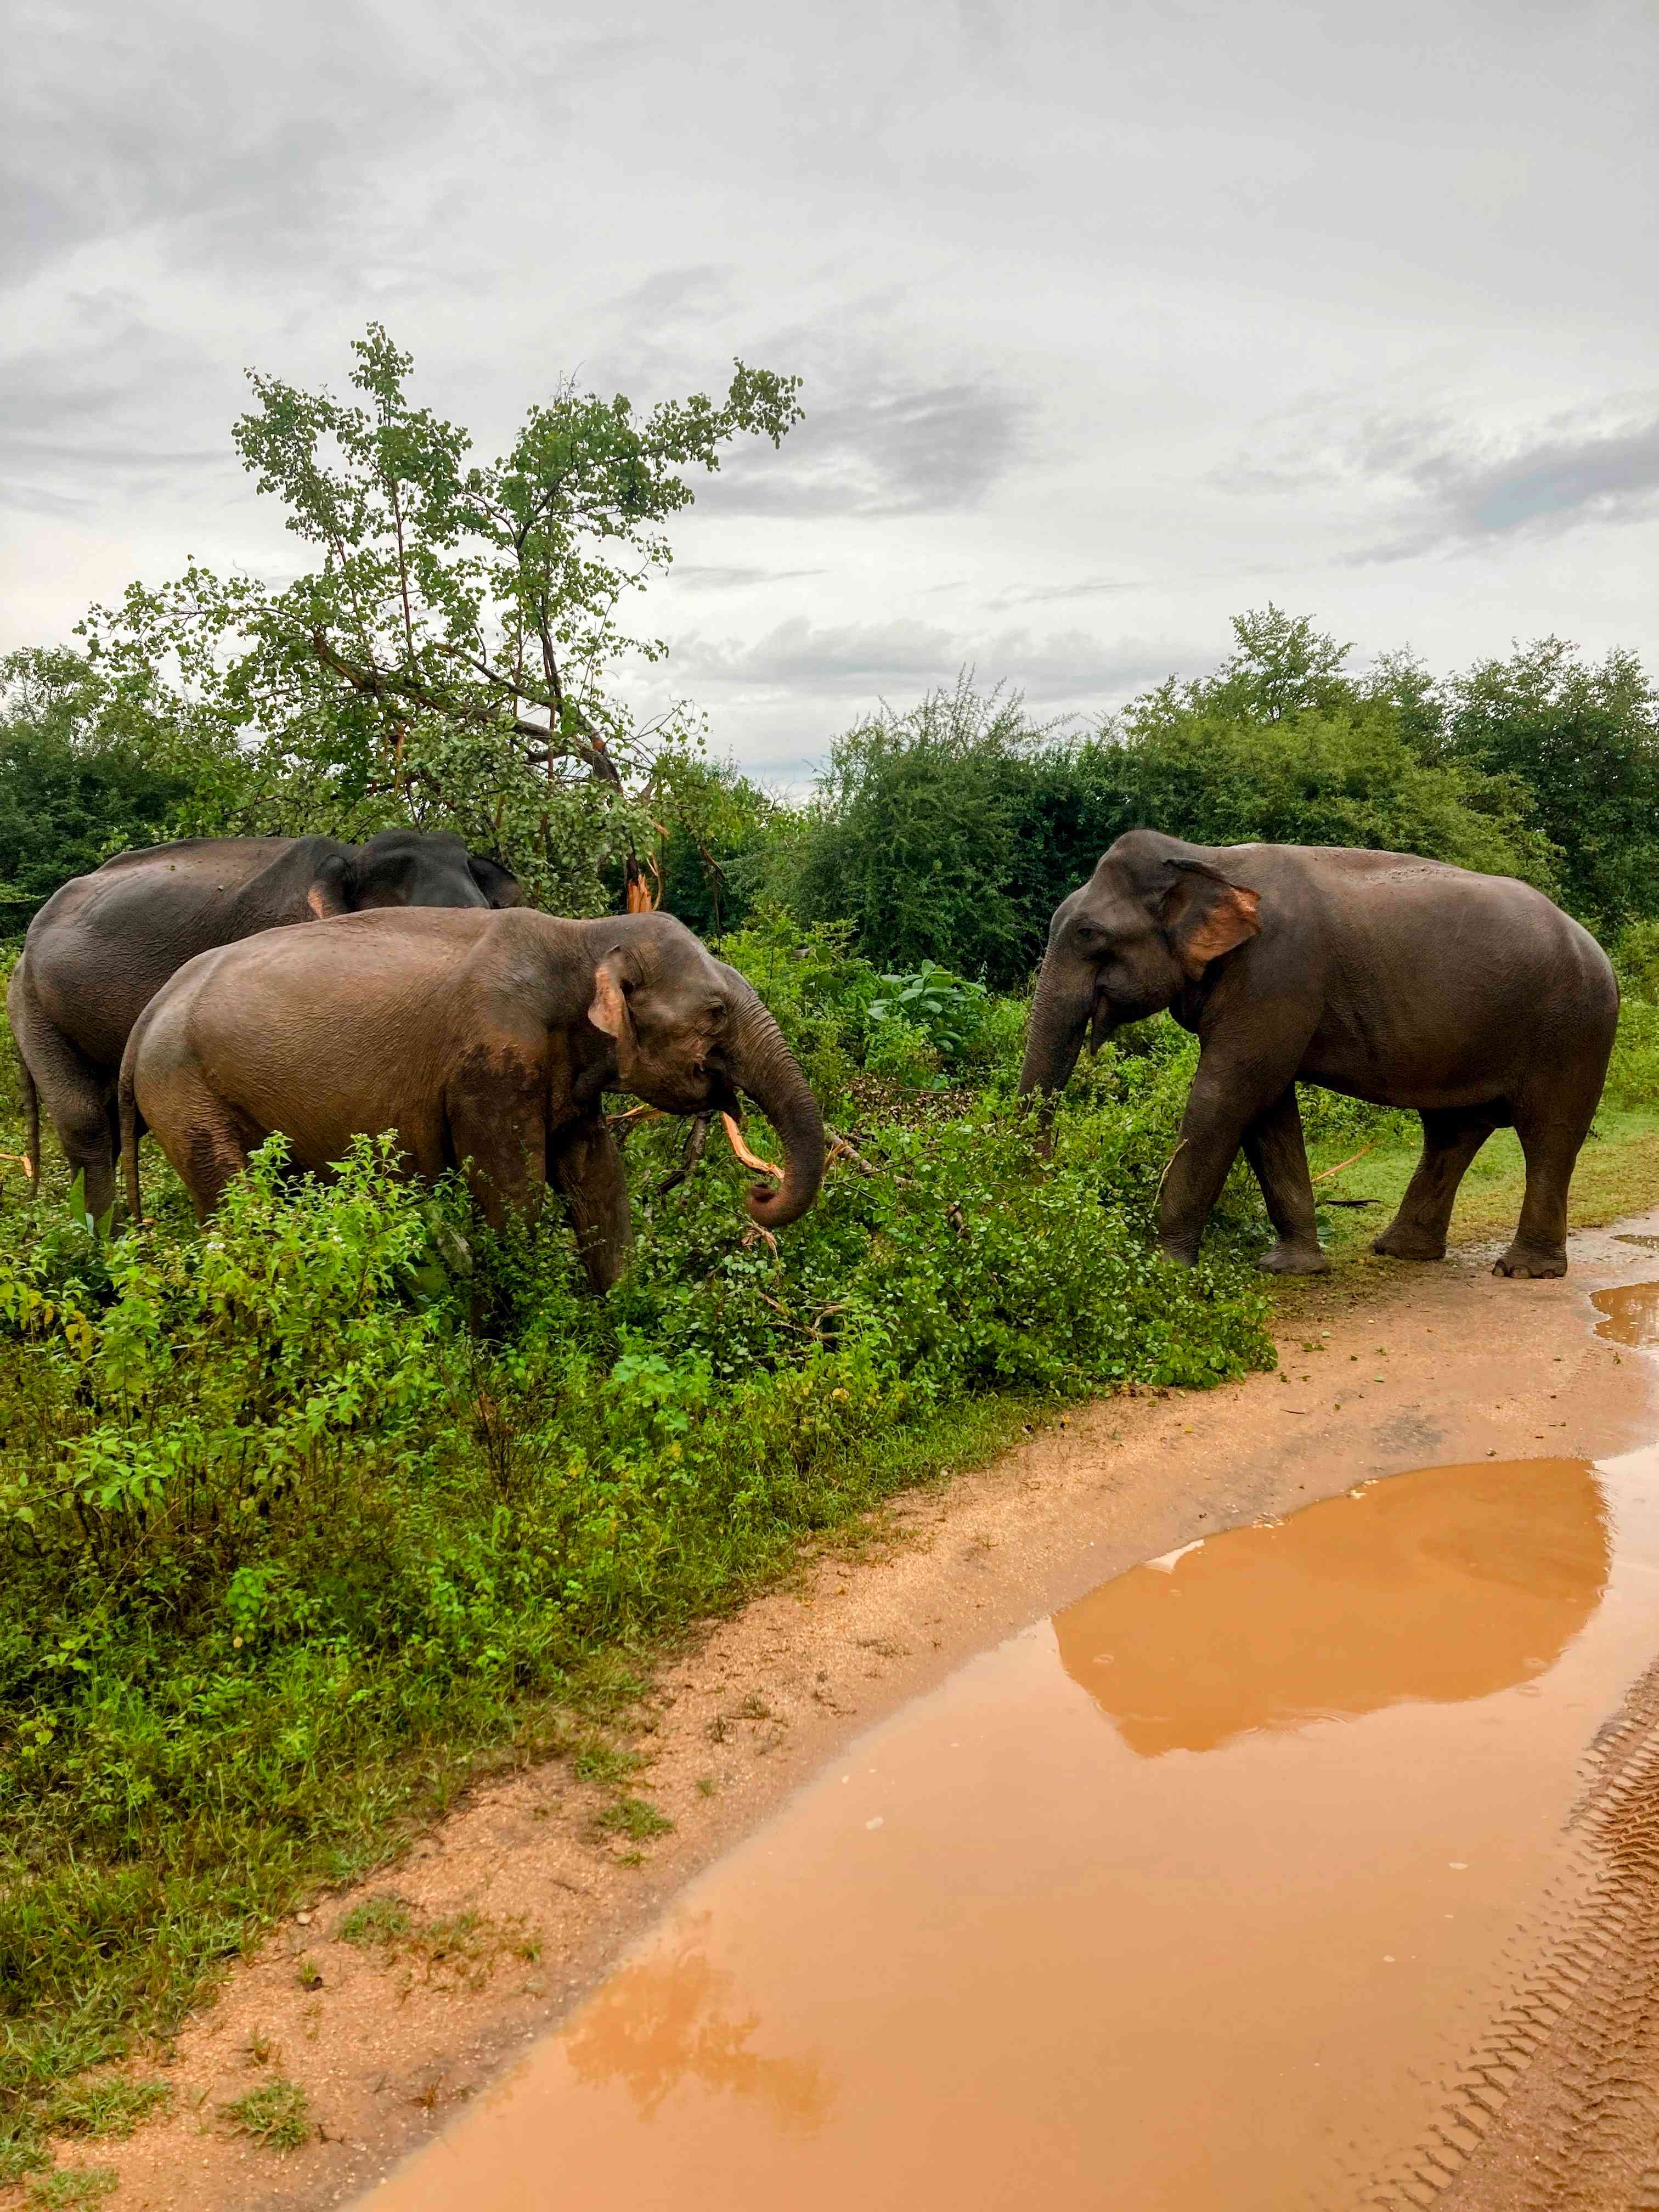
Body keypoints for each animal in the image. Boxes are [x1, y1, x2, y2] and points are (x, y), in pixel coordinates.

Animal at [117, 893, 827, 1283]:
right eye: (715, 1012)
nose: (758, 1192)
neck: (583, 935)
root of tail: (144, 1021)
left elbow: (599, 1182)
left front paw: (619, 1316)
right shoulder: (492, 1063)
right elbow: (513, 1198)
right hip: (185, 1095)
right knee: (239, 1212)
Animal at [1022, 832, 1619, 1283]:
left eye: (1088, 934)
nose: (1038, 1202)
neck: (1206, 858)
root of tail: (1593, 944)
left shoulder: (1276, 974)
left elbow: (1229, 1093)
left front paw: (1163, 1270)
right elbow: (1267, 1110)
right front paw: (1290, 1268)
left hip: (1575, 1030)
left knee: (1550, 1133)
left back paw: (1524, 1271)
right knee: (1453, 1131)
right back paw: (1399, 1251)